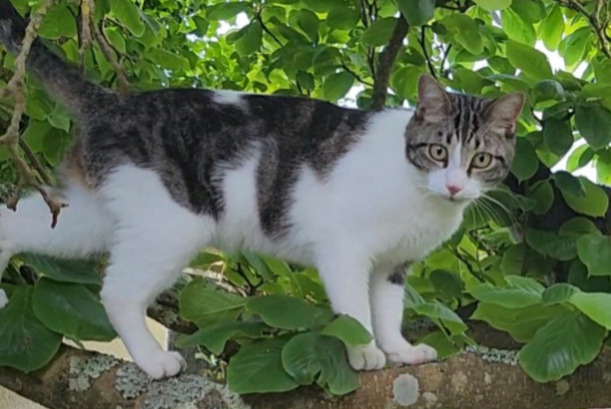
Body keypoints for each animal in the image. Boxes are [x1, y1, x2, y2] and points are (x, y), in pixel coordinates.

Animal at [0, 0, 524, 378]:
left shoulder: (392, 265)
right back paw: (152, 361)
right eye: (438, 151)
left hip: (92, 214)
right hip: (172, 223)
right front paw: (365, 352)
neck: (419, 189)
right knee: (119, 294)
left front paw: (398, 350)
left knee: (17, 221)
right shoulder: (345, 249)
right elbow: (356, 310)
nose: (455, 186)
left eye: (480, 160)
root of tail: (113, 104)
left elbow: (388, 310)